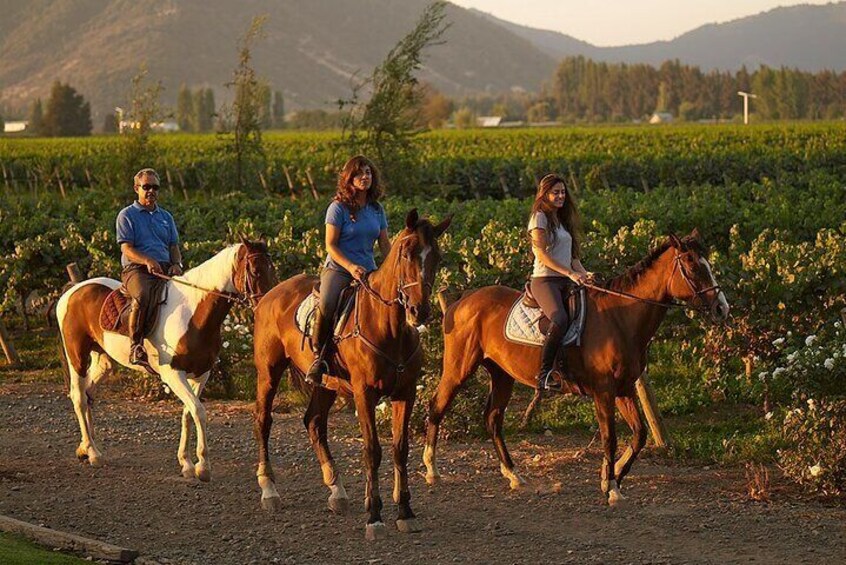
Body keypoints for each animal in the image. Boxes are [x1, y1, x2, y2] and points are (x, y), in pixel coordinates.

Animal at [56, 238, 274, 480]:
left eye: (272, 268)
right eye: (254, 270)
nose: (267, 305)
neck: (192, 314)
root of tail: (73, 290)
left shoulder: (201, 374)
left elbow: (188, 413)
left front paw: (187, 463)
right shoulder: (173, 375)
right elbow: (198, 411)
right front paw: (203, 466)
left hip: (103, 360)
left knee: (88, 394)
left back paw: (85, 448)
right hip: (77, 356)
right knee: (79, 397)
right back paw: (93, 453)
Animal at [253, 208, 454, 536]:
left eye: (436, 256)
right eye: (407, 254)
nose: (419, 311)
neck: (390, 328)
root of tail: (272, 293)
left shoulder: (405, 393)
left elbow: (400, 449)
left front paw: (405, 512)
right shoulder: (364, 393)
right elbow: (372, 450)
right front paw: (374, 516)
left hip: (325, 384)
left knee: (314, 422)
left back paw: (337, 491)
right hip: (269, 372)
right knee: (263, 421)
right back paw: (269, 490)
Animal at [428, 229, 732, 502]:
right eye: (693, 267)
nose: (722, 309)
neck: (620, 319)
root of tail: (462, 301)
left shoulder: (623, 389)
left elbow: (639, 435)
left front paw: (612, 476)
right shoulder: (604, 391)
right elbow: (609, 437)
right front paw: (612, 487)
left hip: (502, 374)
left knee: (492, 418)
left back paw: (514, 475)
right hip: (459, 368)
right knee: (437, 406)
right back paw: (431, 470)